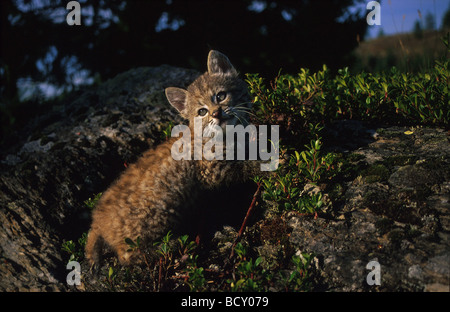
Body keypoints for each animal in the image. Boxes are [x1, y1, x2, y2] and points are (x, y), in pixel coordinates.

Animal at [85, 51, 264, 266]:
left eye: (221, 96)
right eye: (202, 111)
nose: (216, 113)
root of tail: (96, 219)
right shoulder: (212, 171)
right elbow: (244, 165)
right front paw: (272, 161)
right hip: (158, 210)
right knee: (127, 255)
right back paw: (173, 245)